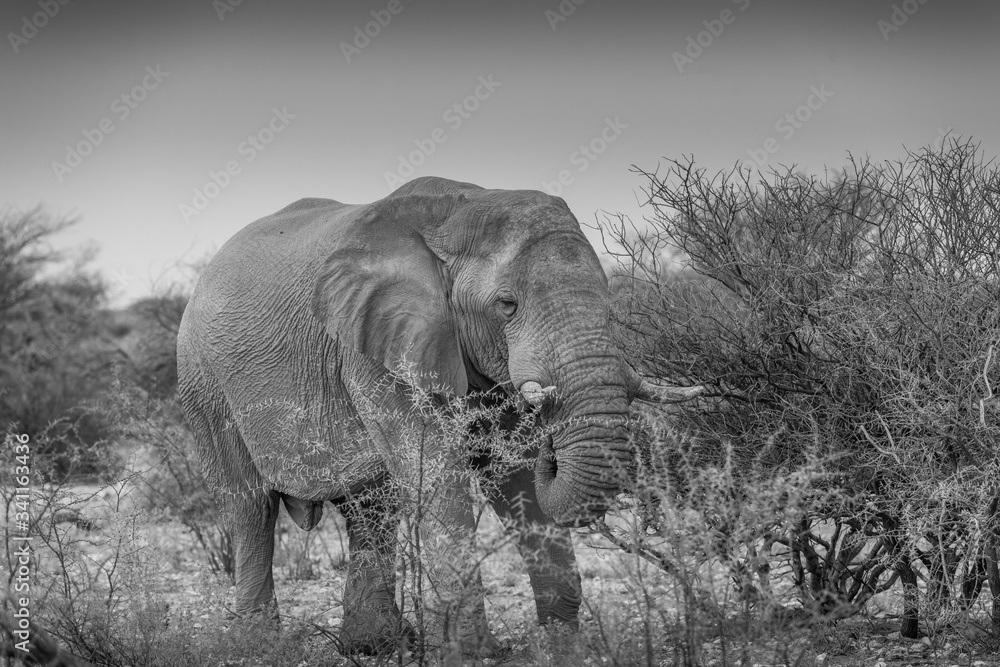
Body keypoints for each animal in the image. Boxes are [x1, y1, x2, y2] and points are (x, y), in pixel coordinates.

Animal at [175, 176, 700, 657]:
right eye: (506, 304)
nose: (552, 443)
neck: (458, 212)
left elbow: (511, 476)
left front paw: (563, 645)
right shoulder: (373, 348)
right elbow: (439, 474)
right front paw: (476, 653)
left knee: (373, 508)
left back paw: (375, 644)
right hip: (203, 380)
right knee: (250, 505)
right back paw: (257, 644)